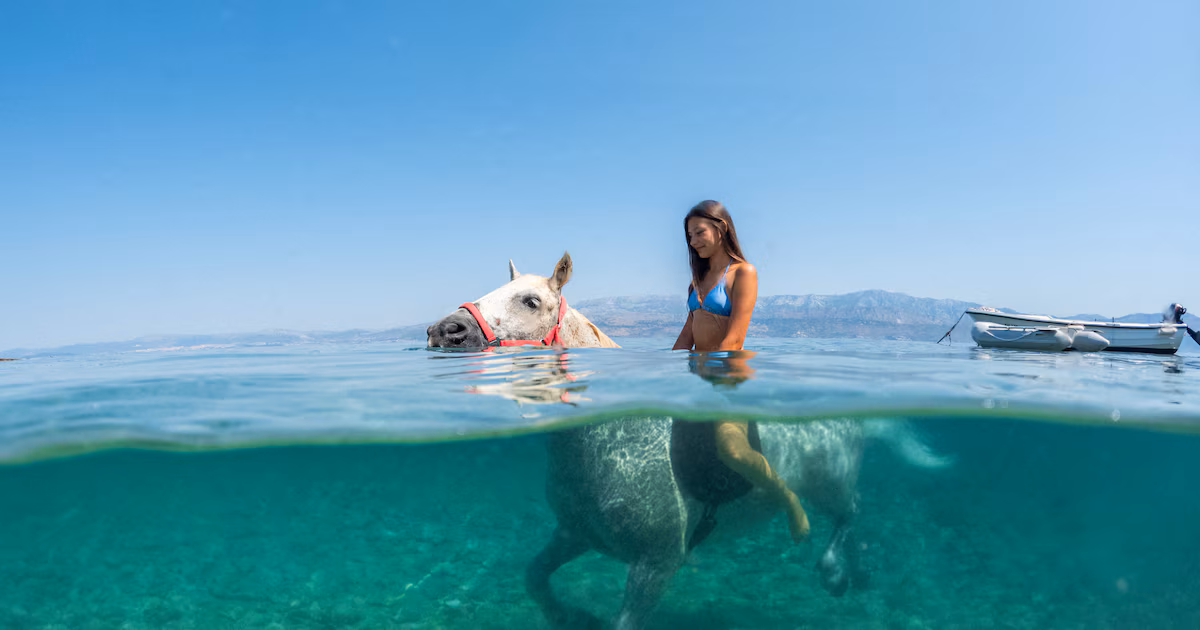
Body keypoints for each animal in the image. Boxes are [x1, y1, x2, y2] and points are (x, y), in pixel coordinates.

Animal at [427, 252, 951, 629]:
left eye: (531, 301)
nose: (443, 330)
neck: (607, 442)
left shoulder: (655, 566)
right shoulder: (573, 534)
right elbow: (534, 576)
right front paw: (570, 616)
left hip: (830, 482)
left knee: (848, 513)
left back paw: (835, 570)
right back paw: (858, 571)